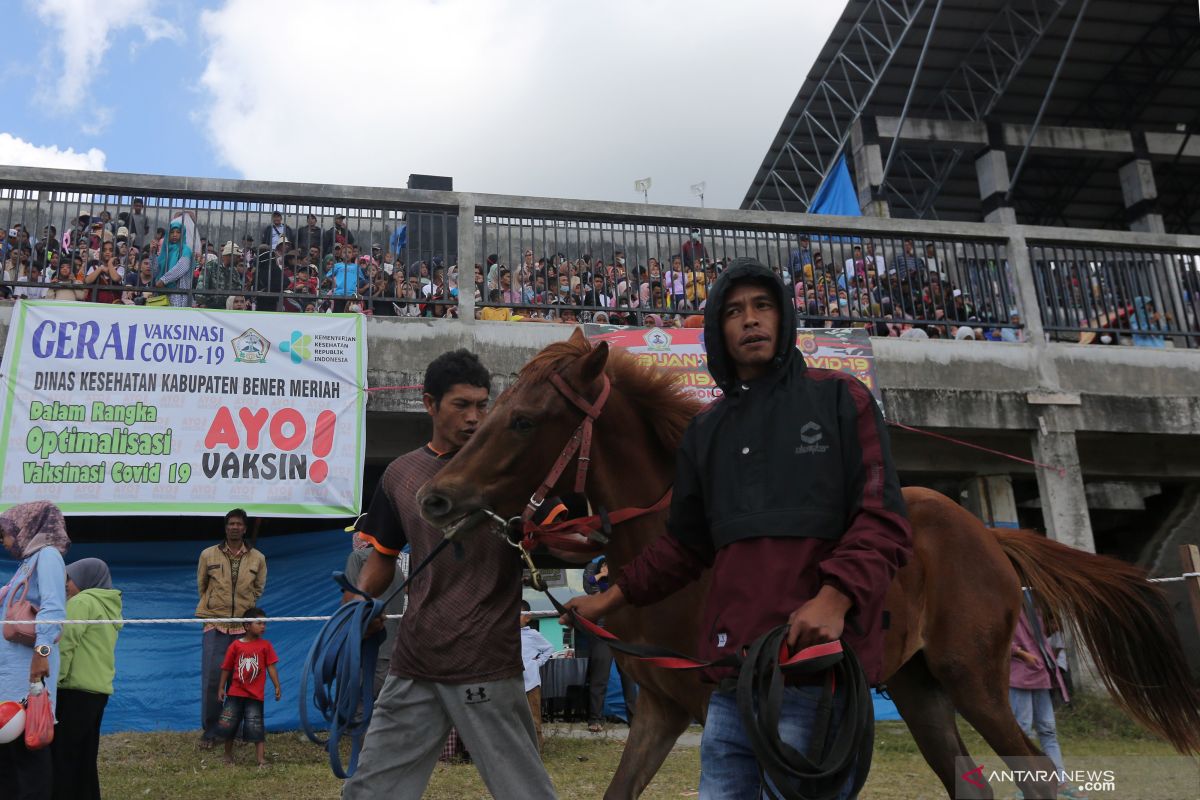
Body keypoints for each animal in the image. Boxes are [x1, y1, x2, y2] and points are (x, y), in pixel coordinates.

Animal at [415, 328, 1200, 796]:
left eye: (521, 420)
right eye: (485, 410)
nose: (434, 496)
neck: (688, 572)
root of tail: (986, 531)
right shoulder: (662, 712)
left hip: (974, 679)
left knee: (1038, 775)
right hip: (916, 687)